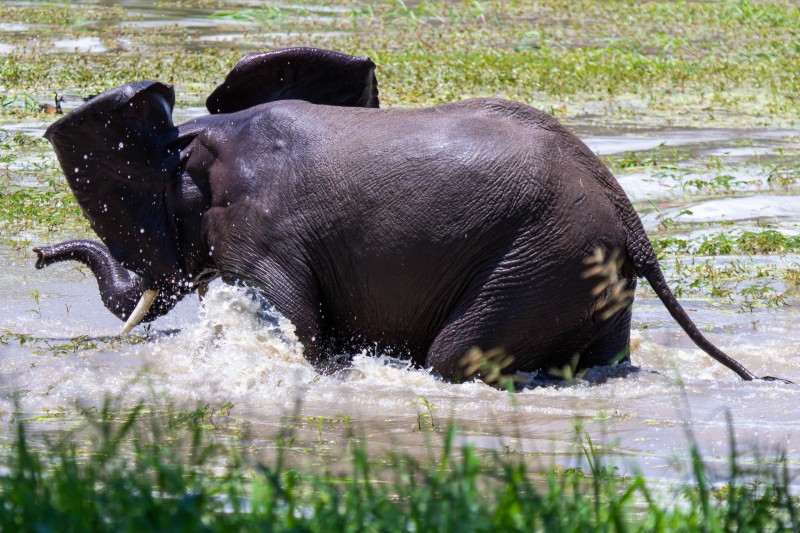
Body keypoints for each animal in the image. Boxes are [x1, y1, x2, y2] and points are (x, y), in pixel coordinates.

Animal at [34, 46, 784, 382]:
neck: (200, 139)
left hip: (539, 257)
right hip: (582, 265)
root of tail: (631, 220)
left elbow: (299, 327)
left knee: (455, 355)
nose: (39, 256)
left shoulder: (262, 231)